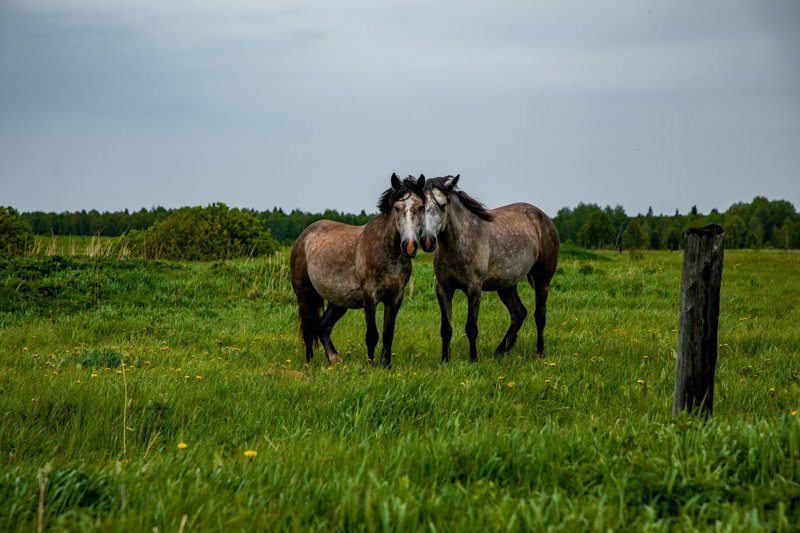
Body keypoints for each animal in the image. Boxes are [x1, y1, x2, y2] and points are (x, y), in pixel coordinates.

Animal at [288, 172, 424, 368]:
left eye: (420, 207)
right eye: (397, 208)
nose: (410, 246)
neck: (388, 252)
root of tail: (303, 237)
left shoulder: (395, 297)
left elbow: (388, 334)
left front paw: (386, 366)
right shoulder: (370, 296)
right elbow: (372, 335)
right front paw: (370, 366)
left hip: (338, 302)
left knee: (323, 327)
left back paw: (335, 360)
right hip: (305, 296)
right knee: (309, 329)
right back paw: (310, 363)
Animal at [422, 175, 560, 362]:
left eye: (443, 205)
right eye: (420, 205)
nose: (427, 240)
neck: (458, 243)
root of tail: (545, 218)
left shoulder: (474, 288)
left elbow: (471, 328)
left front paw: (473, 359)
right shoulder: (443, 288)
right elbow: (446, 329)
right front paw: (445, 360)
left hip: (542, 280)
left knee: (539, 315)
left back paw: (539, 353)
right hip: (506, 285)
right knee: (519, 313)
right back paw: (501, 350)